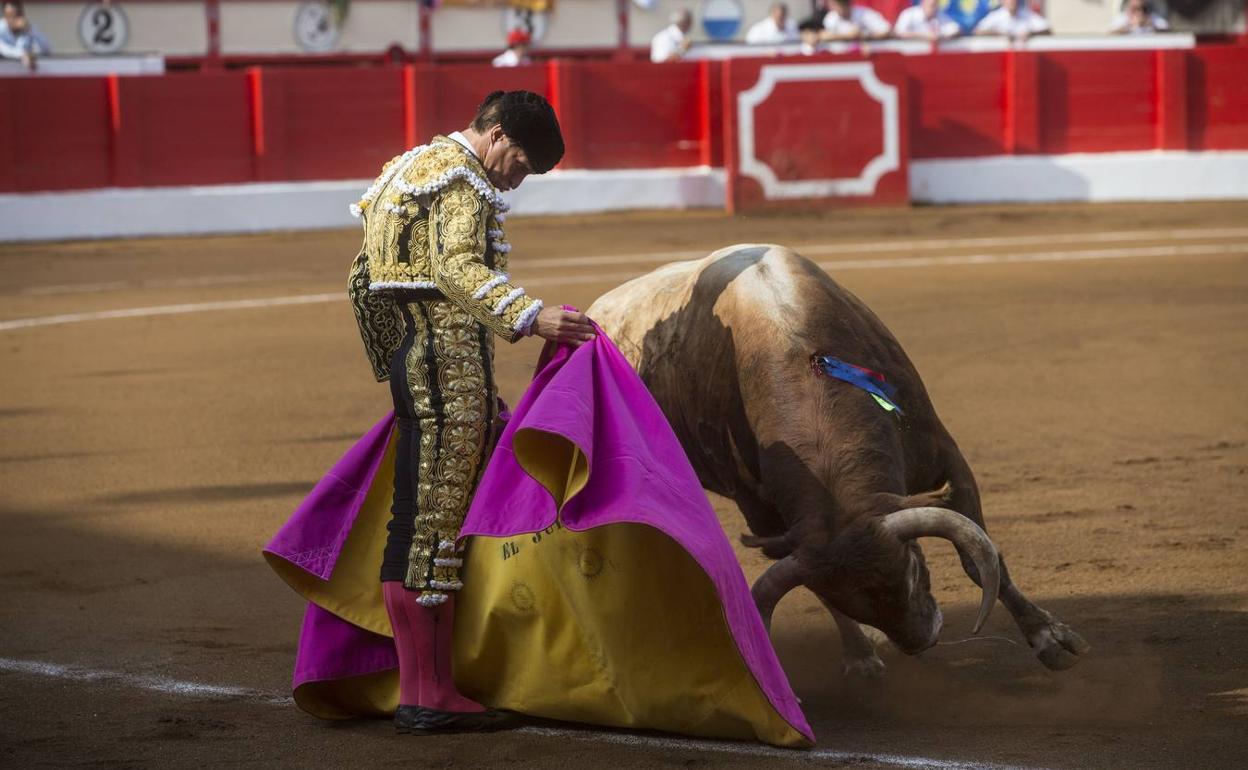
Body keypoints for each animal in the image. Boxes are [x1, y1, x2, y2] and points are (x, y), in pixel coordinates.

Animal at [589, 244, 1088, 673]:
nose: (921, 640)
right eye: (856, 599)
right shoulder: (767, 517)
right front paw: (861, 653)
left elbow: (981, 555)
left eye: (912, 569)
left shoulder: (944, 457)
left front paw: (1051, 639)